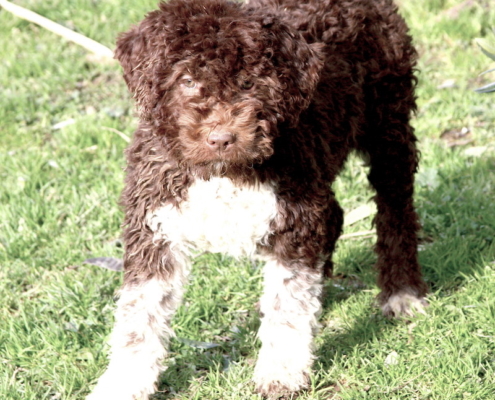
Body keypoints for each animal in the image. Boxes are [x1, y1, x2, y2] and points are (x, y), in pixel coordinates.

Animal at [87, 0, 428, 398]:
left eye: (249, 83)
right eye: (187, 81)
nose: (221, 138)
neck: (222, 173)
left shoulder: (293, 221)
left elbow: (287, 303)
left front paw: (281, 372)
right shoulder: (155, 220)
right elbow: (139, 314)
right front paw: (123, 383)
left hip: (388, 118)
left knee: (396, 209)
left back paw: (402, 290)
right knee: (335, 214)